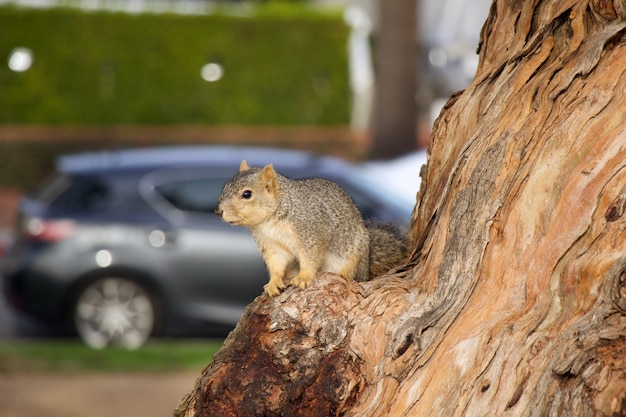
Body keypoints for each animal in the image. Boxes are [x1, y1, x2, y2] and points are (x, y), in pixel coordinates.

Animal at [214, 161, 408, 298]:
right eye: (224, 187)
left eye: (247, 194)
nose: (218, 211)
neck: (269, 221)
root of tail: (366, 266)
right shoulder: (272, 244)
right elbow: (276, 263)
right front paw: (274, 282)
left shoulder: (312, 232)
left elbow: (311, 257)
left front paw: (304, 277)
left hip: (353, 260)